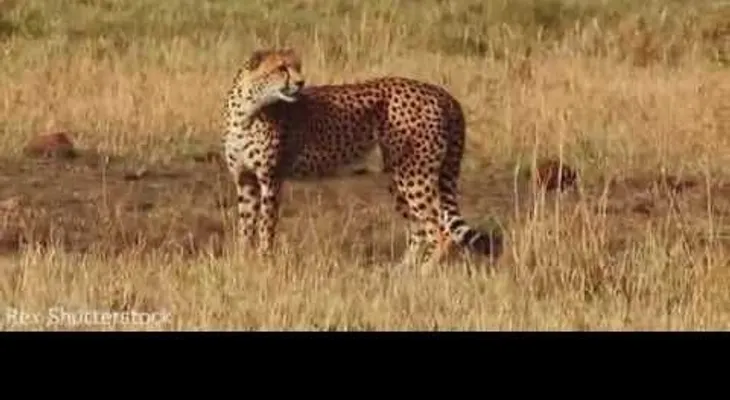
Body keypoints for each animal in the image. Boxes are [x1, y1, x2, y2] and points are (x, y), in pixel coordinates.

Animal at [222, 48, 502, 267]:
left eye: (297, 67)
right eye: (281, 68)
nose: (301, 83)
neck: (247, 110)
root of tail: (441, 92)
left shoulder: (271, 179)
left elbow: (265, 226)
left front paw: (263, 261)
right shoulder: (245, 180)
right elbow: (246, 224)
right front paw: (242, 261)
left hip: (414, 175)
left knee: (440, 232)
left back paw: (423, 273)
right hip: (400, 175)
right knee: (419, 229)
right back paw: (402, 272)